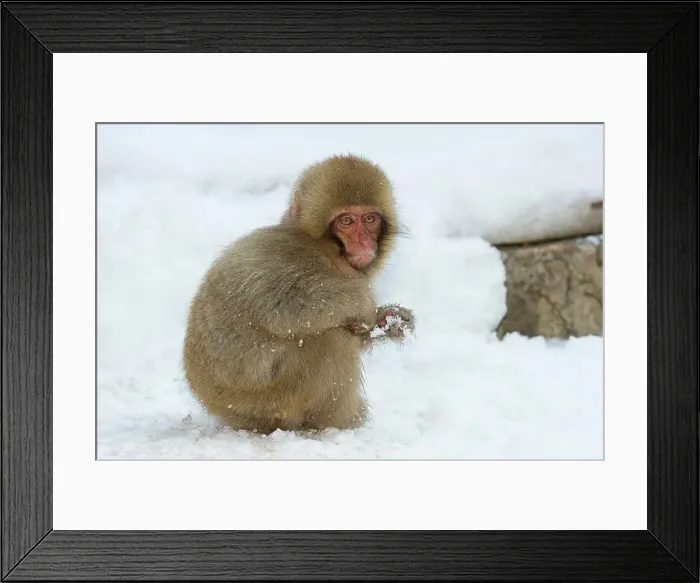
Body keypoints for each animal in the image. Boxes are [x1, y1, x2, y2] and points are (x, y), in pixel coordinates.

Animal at [182, 154, 415, 435]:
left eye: (370, 219)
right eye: (346, 221)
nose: (363, 242)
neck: (322, 249)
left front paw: (390, 320)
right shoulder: (288, 259)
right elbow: (285, 308)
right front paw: (363, 302)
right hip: (270, 400)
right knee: (332, 342)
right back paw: (336, 423)